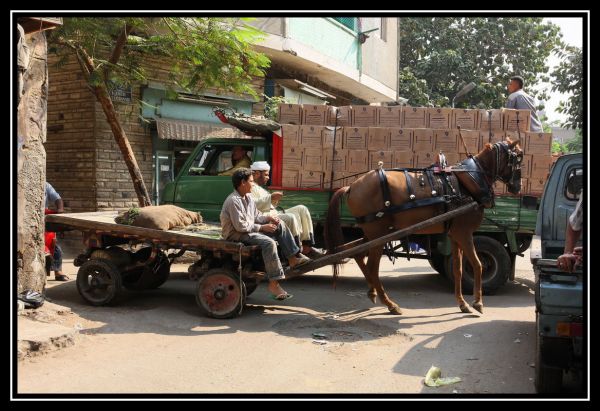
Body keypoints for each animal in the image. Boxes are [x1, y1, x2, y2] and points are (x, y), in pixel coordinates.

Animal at [326, 140, 524, 314]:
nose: (517, 187)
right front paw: (478, 302)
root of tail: (351, 186)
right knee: (373, 268)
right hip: (378, 234)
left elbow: (458, 269)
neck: (468, 181)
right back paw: (390, 304)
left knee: (358, 254)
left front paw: (462, 303)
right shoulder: (465, 233)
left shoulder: (455, 235)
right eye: (518, 159)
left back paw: (373, 292)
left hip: (373, 234)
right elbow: (477, 264)